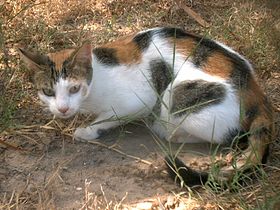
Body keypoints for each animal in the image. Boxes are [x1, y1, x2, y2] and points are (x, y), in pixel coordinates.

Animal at [19, 27, 276, 186]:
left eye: (73, 88)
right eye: (48, 92)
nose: (62, 109)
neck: (97, 77)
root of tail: (257, 93)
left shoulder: (139, 100)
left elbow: (109, 116)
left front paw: (88, 130)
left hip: (177, 95)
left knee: (226, 135)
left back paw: (170, 132)